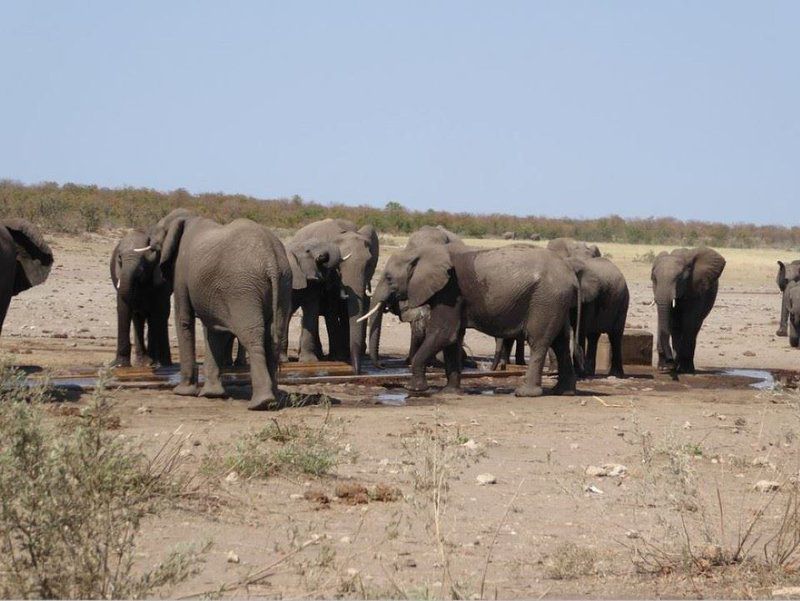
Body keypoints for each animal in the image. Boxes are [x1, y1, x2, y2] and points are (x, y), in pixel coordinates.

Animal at [110, 229, 173, 366]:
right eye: (119, 258)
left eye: (143, 263)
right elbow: (123, 309)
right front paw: (119, 365)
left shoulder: (161, 281)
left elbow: (159, 312)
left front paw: (162, 364)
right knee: (138, 318)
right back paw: (143, 362)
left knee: (156, 317)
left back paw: (156, 361)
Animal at [145, 209, 294, 410]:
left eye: (158, 233)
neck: (189, 218)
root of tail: (271, 258)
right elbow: (214, 330)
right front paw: (211, 394)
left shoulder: (181, 270)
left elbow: (184, 320)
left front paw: (183, 392)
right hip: (284, 283)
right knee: (273, 337)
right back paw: (274, 401)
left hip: (242, 289)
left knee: (252, 336)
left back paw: (261, 403)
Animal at [290, 218, 378, 372]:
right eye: (338, 268)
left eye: (368, 264)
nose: (357, 371)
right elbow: (332, 309)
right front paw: (338, 357)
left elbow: (347, 312)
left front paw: (344, 355)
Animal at [360, 241, 580, 396]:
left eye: (389, 278)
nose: (382, 367)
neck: (424, 253)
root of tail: (572, 277)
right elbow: (453, 338)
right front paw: (450, 392)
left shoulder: (450, 291)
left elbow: (444, 333)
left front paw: (414, 389)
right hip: (556, 301)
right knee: (560, 342)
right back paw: (564, 391)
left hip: (545, 299)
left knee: (539, 341)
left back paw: (525, 393)